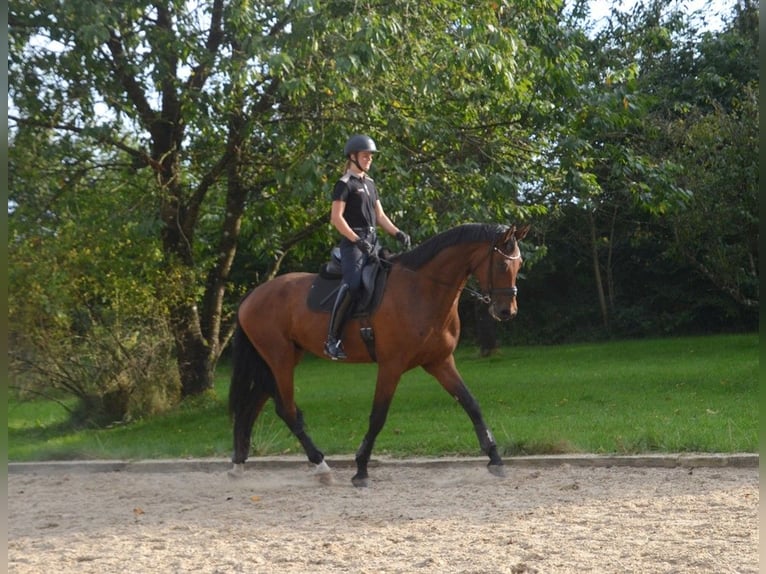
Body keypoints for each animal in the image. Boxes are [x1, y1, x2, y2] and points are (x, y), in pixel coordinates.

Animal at [228, 223, 528, 488]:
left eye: (520, 265)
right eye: (502, 265)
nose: (507, 311)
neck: (421, 290)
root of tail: (251, 296)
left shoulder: (439, 362)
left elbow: (471, 404)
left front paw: (495, 459)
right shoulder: (390, 366)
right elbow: (378, 416)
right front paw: (361, 469)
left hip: (281, 359)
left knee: (253, 405)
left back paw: (239, 464)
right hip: (279, 359)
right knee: (287, 410)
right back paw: (321, 467)